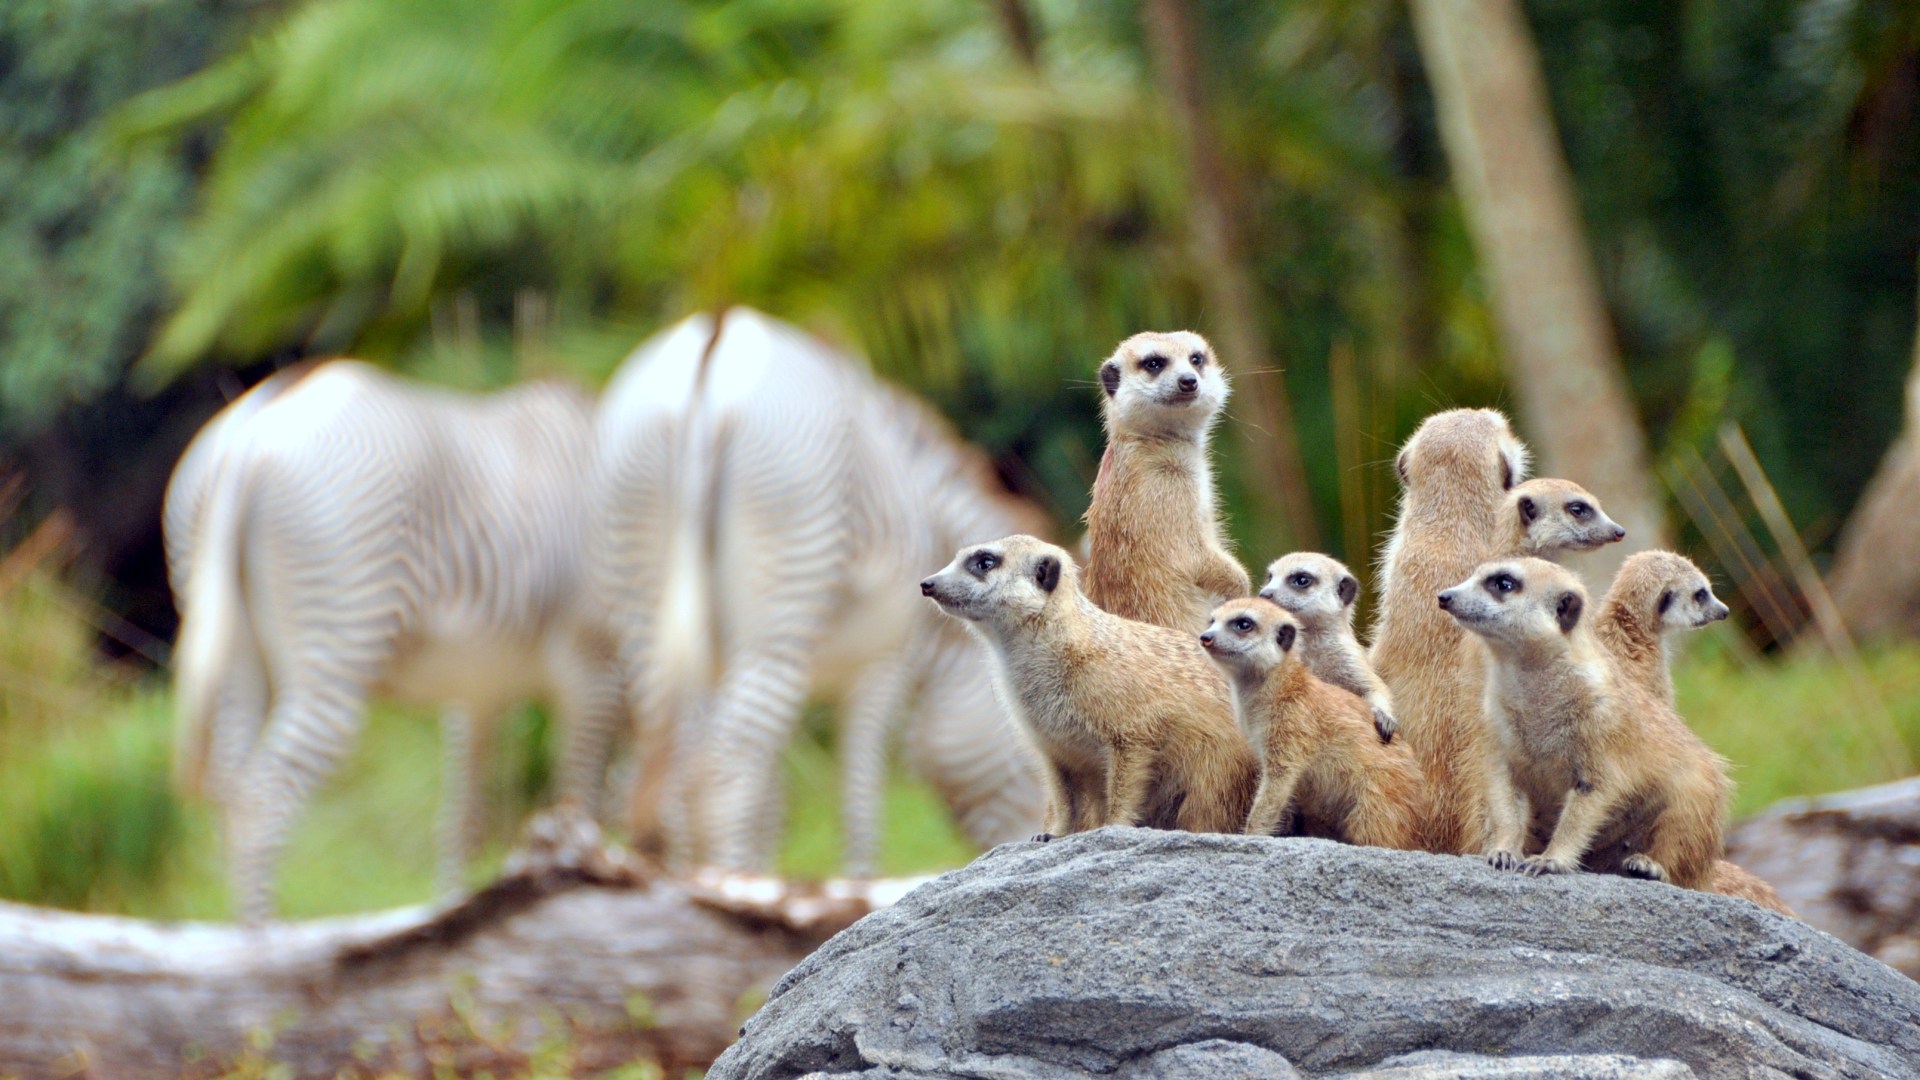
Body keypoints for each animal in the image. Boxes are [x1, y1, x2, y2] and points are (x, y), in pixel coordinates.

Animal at [167, 361, 625, 921]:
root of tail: (249, 440)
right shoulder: (593, 671)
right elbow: (581, 802)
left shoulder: (477, 693)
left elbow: (462, 819)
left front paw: (454, 917)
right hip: (335, 652)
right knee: (260, 798)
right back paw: (265, 939)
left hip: (236, 649)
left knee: (228, 789)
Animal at [589, 308, 1046, 875]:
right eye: (1027, 741)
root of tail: (716, 341)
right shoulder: (884, 663)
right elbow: (860, 796)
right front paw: (853, 883)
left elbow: (771, 801)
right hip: (782, 589)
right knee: (718, 775)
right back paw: (728, 884)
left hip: (644, 593)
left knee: (674, 773)